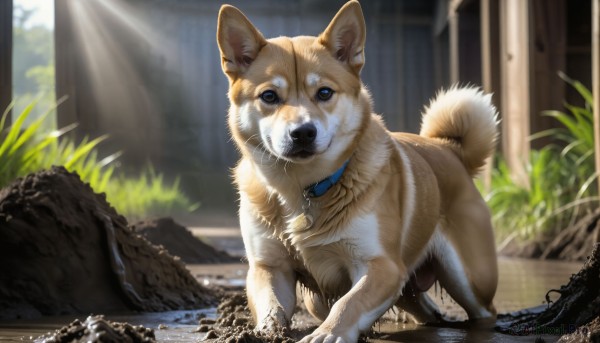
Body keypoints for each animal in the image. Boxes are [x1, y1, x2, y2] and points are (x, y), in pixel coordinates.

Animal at [216, 1, 496, 342]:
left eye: (324, 92)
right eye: (269, 96)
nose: (303, 132)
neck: (301, 188)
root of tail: (447, 147)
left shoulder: (382, 265)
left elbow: (349, 303)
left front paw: (329, 333)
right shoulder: (268, 266)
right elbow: (272, 303)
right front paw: (267, 331)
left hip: (470, 279)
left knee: (484, 310)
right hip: (389, 289)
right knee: (423, 307)